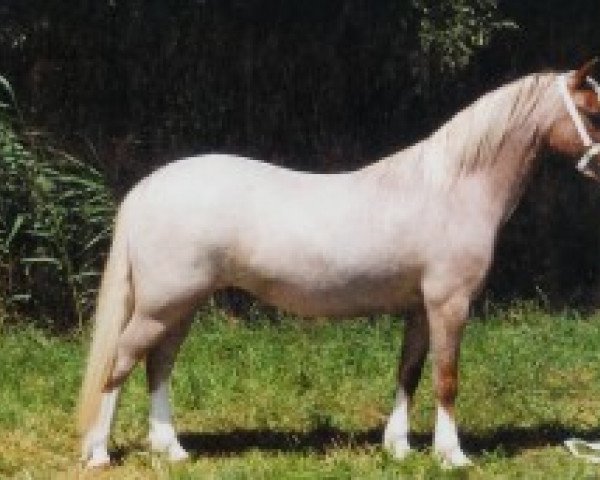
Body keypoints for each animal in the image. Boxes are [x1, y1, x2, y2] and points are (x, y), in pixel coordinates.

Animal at [77, 59, 600, 464]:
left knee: (158, 365)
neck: (451, 187)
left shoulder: (420, 307)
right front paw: (452, 455)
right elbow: (446, 378)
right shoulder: (449, 303)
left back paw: (172, 450)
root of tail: (146, 188)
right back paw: (99, 453)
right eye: (592, 110)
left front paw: (399, 447)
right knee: (121, 363)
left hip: (179, 307)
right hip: (161, 305)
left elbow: (409, 372)